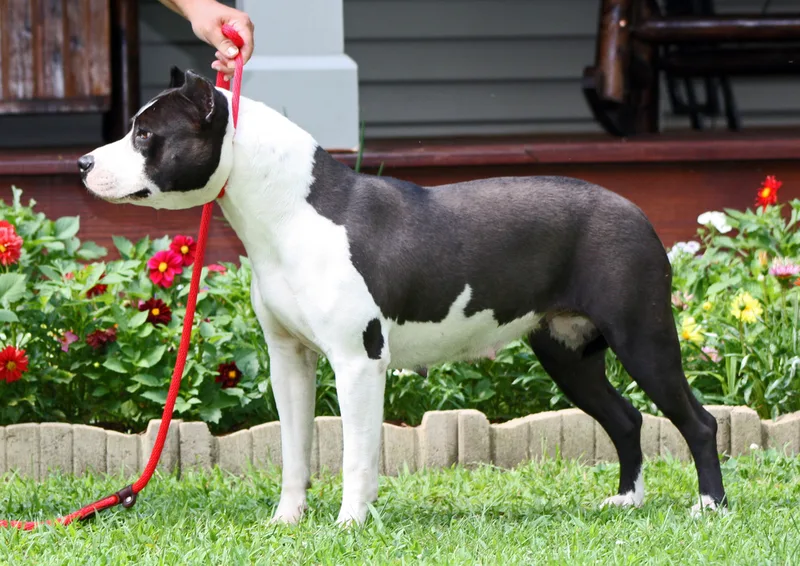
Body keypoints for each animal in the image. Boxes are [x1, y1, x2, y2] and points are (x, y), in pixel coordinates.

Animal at [79, 67, 727, 525]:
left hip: (642, 337)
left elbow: (356, 453)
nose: (83, 161)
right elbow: (295, 449)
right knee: (626, 418)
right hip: (567, 352)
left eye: (145, 134)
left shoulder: (357, 362)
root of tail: (635, 210)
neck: (292, 210)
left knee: (697, 421)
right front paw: (287, 521)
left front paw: (349, 523)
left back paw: (710, 506)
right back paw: (628, 501)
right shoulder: (290, 360)